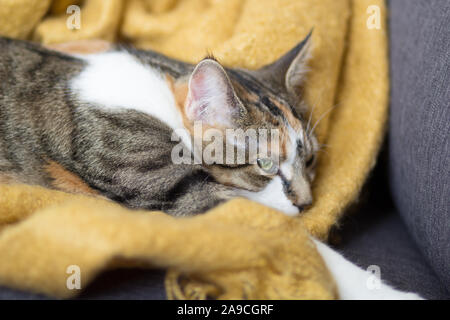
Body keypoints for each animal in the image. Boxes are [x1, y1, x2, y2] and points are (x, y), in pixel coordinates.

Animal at [0, 33, 422, 298]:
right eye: (264, 163)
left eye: (311, 159)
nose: (306, 203)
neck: (159, 93)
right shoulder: (162, 180)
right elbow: (286, 237)